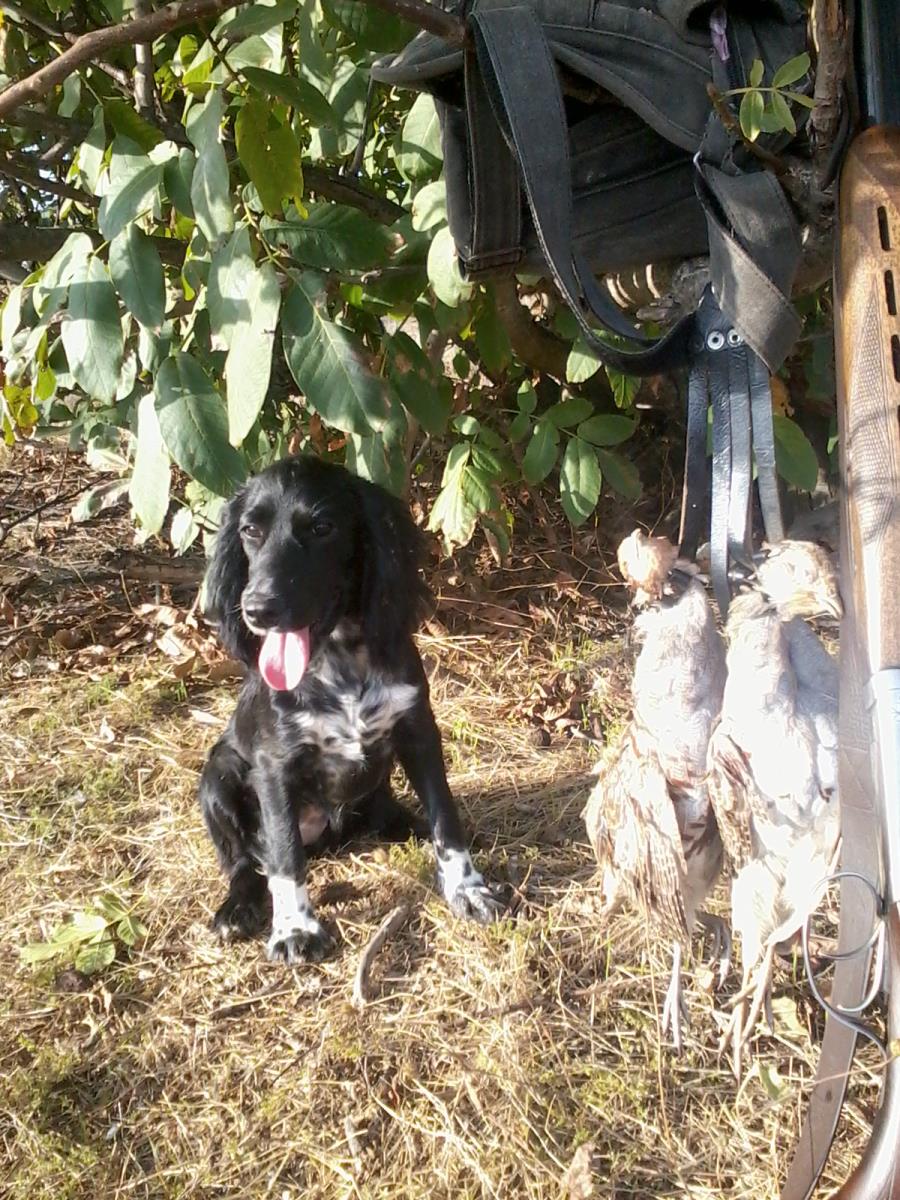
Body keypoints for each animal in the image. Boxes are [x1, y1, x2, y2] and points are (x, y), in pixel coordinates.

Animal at [199, 455, 503, 963]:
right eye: (249, 530)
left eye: (322, 527)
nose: (257, 609)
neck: (339, 659)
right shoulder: (273, 765)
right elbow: (284, 853)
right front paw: (295, 929)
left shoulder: (419, 732)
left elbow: (445, 817)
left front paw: (467, 888)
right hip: (216, 774)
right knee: (244, 861)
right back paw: (237, 908)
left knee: (388, 818)